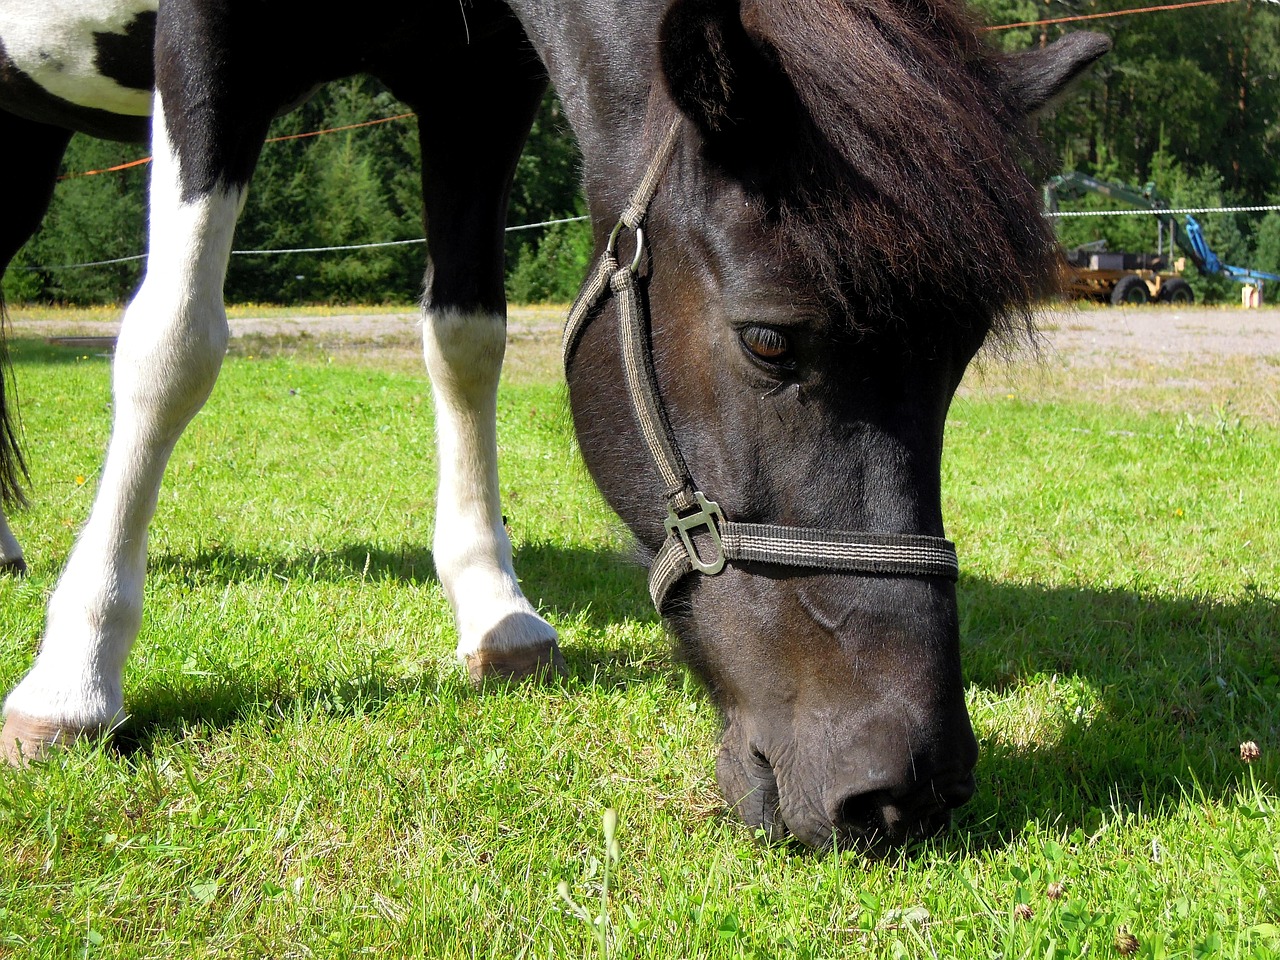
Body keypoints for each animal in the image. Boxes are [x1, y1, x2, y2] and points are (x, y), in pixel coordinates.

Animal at [0, 0, 1105, 855]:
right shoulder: (212, 39)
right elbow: (173, 343)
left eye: (959, 356)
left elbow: (465, 337)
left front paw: (493, 608)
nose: (905, 788)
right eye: (769, 342)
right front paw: (76, 675)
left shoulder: (473, 86)